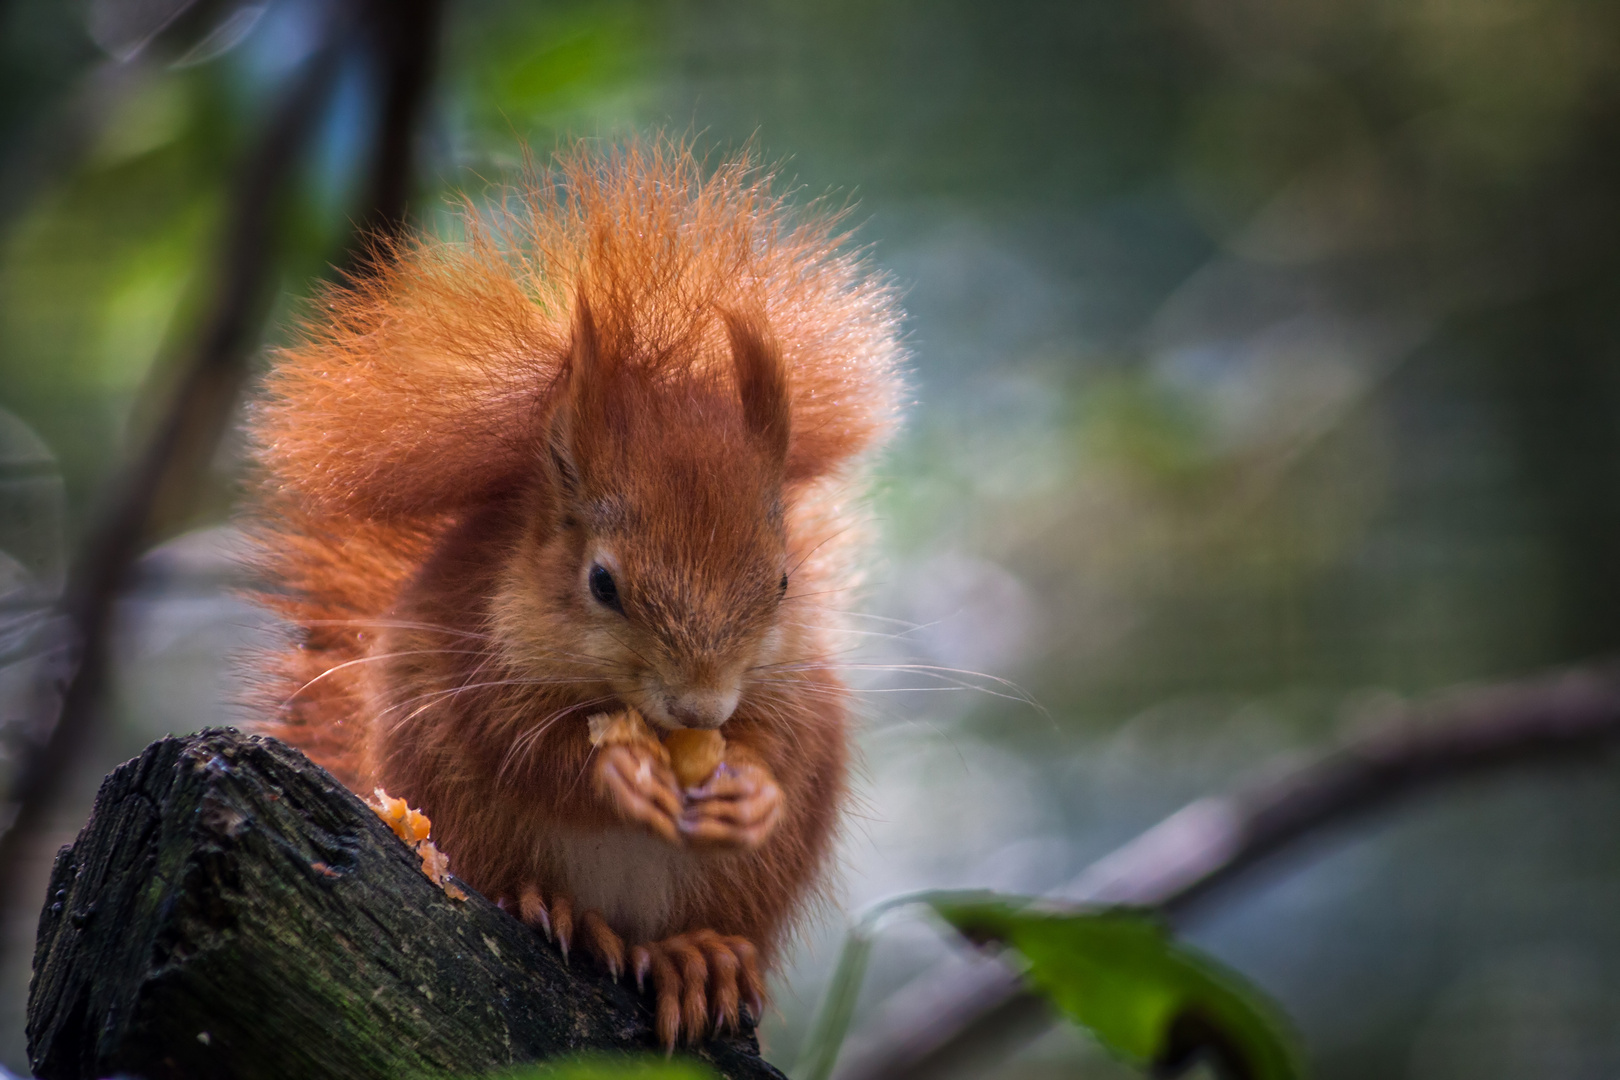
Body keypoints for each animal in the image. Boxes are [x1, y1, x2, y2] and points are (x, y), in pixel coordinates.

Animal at [243, 139, 900, 1049]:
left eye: (783, 582)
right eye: (601, 583)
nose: (701, 710)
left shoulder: (792, 681)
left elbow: (785, 740)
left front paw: (753, 784)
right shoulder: (479, 660)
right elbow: (525, 746)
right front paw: (615, 770)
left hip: (750, 881)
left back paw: (701, 956)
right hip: (458, 810)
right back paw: (561, 910)